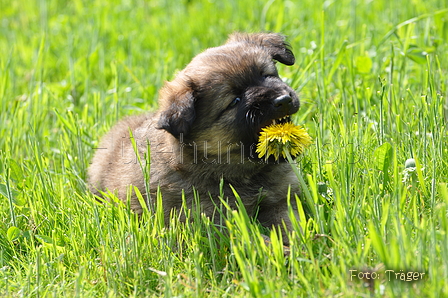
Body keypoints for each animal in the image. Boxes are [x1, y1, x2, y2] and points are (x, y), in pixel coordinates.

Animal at [88, 32, 300, 244]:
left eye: (267, 75)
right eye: (234, 101)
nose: (283, 100)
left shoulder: (282, 200)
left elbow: (289, 224)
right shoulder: (212, 221)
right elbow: (256, 239)